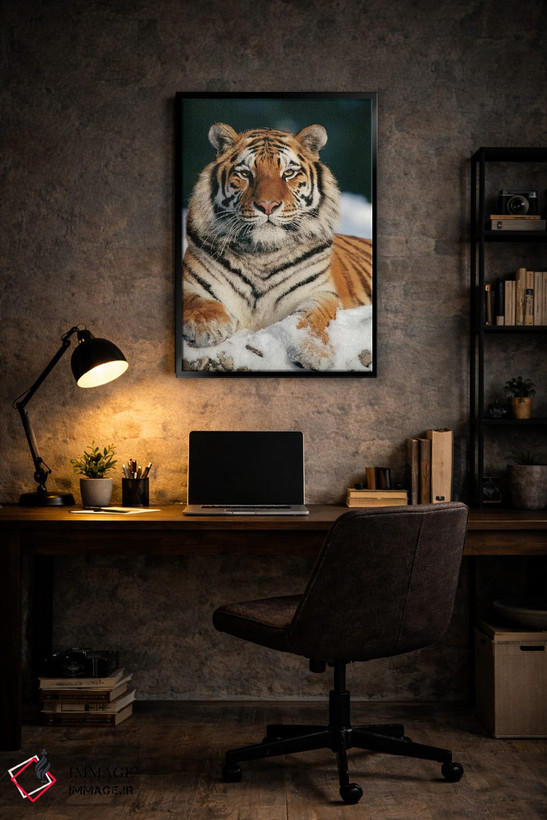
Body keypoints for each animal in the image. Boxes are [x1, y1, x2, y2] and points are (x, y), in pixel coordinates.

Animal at [182, 122, 372, 370]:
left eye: (288, 173)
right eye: (245, 174)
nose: (267, 205)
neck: (262, 252)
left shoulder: (320, 293)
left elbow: (312, 319)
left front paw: (314, 352)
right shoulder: (189, 280)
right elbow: (194, 299)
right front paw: (209, 327)